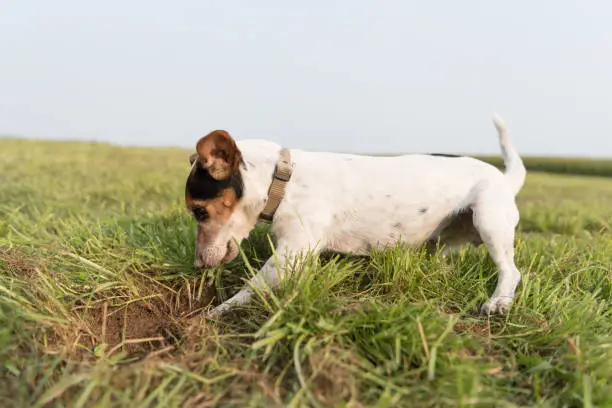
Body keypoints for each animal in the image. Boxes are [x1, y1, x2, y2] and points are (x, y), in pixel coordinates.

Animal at [185, 115, 524, 316]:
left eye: (199, 211)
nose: (197, 265)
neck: (282, 178)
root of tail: (506, 179)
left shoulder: (292, 251)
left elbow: (253, 285)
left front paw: (215, 313)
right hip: (441, 241)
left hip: (489, 220)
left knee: (511, 270)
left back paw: (499, 301)